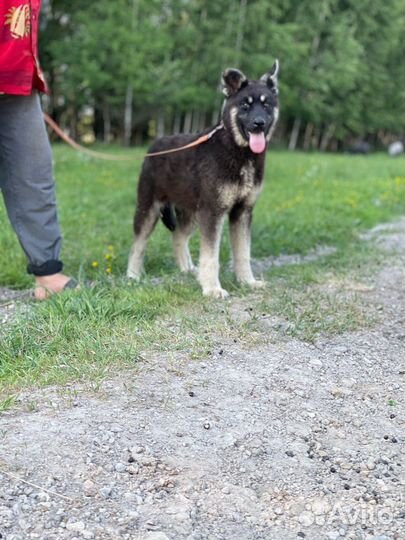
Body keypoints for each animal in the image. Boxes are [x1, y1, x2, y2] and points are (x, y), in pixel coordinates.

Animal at [128, 62, 280, 300]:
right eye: (245, 106)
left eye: (266, 105)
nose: (259, 124)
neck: (239, 151)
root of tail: (154, 145)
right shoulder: (213, 211)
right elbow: (211, 256)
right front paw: (212, 288)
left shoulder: (242, 211)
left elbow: (243, 252)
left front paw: (247, 281)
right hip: (148, 207)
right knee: (138, 243)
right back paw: (133, 275)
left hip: (191, 212)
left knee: (178, 236)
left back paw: (187, 269)